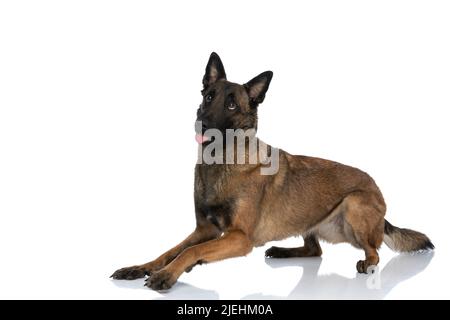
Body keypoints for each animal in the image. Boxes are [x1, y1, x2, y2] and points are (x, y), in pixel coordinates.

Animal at [110, 52, 434, 290]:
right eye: (208, 97)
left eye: (231, 105)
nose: (202, 123)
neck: (222, 162)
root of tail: (378, 192)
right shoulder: (205, 230)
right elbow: (169, 250)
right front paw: (140, 268)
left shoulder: (238, 237)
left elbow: (190, 251)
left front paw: (169, 273)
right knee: (315, 250)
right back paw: (281, 251)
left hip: (355, 204)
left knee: (374, 251)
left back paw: (367, 263)